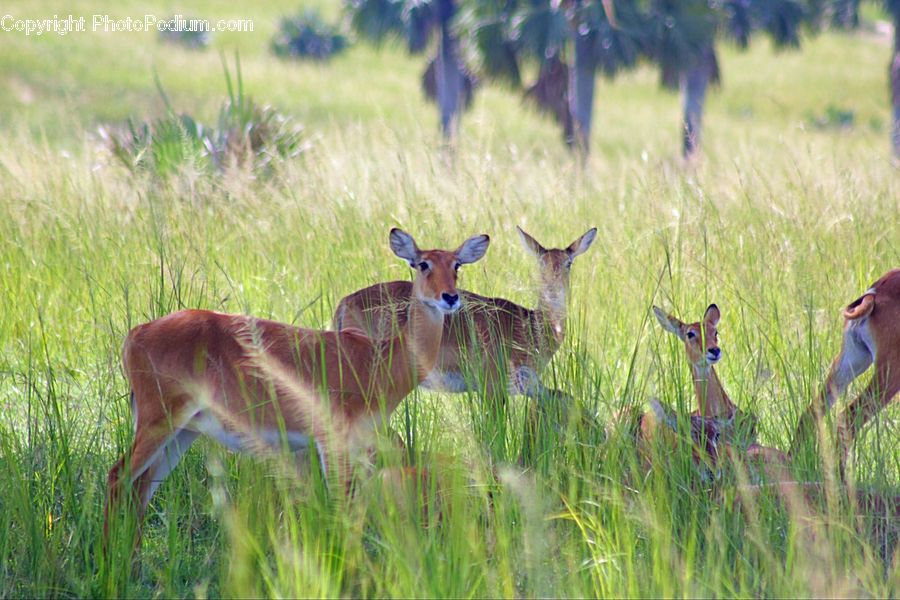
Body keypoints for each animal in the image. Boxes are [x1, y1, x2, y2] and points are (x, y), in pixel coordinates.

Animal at [104, 228, 490, 542]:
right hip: (159, 419)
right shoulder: (331, 441)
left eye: (457, 264)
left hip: (185, 430)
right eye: (422, 264)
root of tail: (136, 333)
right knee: (117, 477)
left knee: (141, 490)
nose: (449, 297)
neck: (378, 361)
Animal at [332, 226, 596, 416]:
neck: (530, 326)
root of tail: (344, 302)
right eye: (541, 263)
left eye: (568, 262)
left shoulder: (529, 385)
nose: (553, 289)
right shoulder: (491, 387)